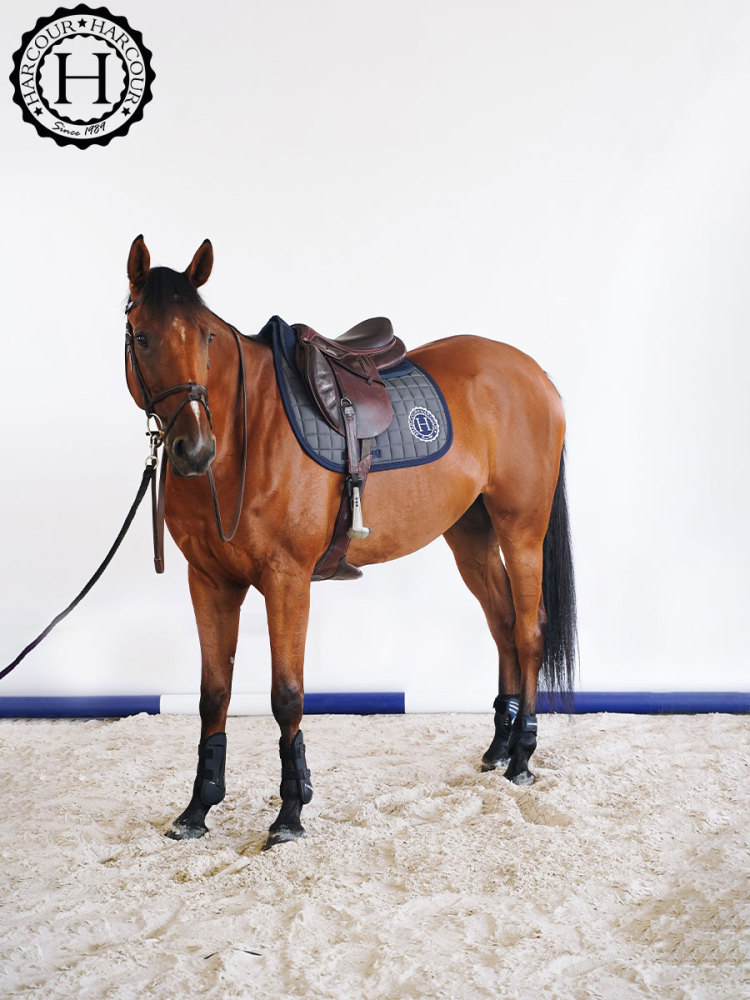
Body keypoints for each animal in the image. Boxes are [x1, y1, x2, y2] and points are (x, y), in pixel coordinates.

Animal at [124, 236, 577, 849]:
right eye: (142, 335)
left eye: (205, 336)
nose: (194, 448)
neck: (244, 433)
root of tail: (534, 371)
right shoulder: (210, 582)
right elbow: (213, 694)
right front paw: (198, 808)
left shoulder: (287, 579)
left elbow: (286, 694)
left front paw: (291, 812)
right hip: (471, 536)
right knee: (503, 624)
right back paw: (498, 749)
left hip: (522, 528)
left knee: (529, 631)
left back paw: (523, 757)